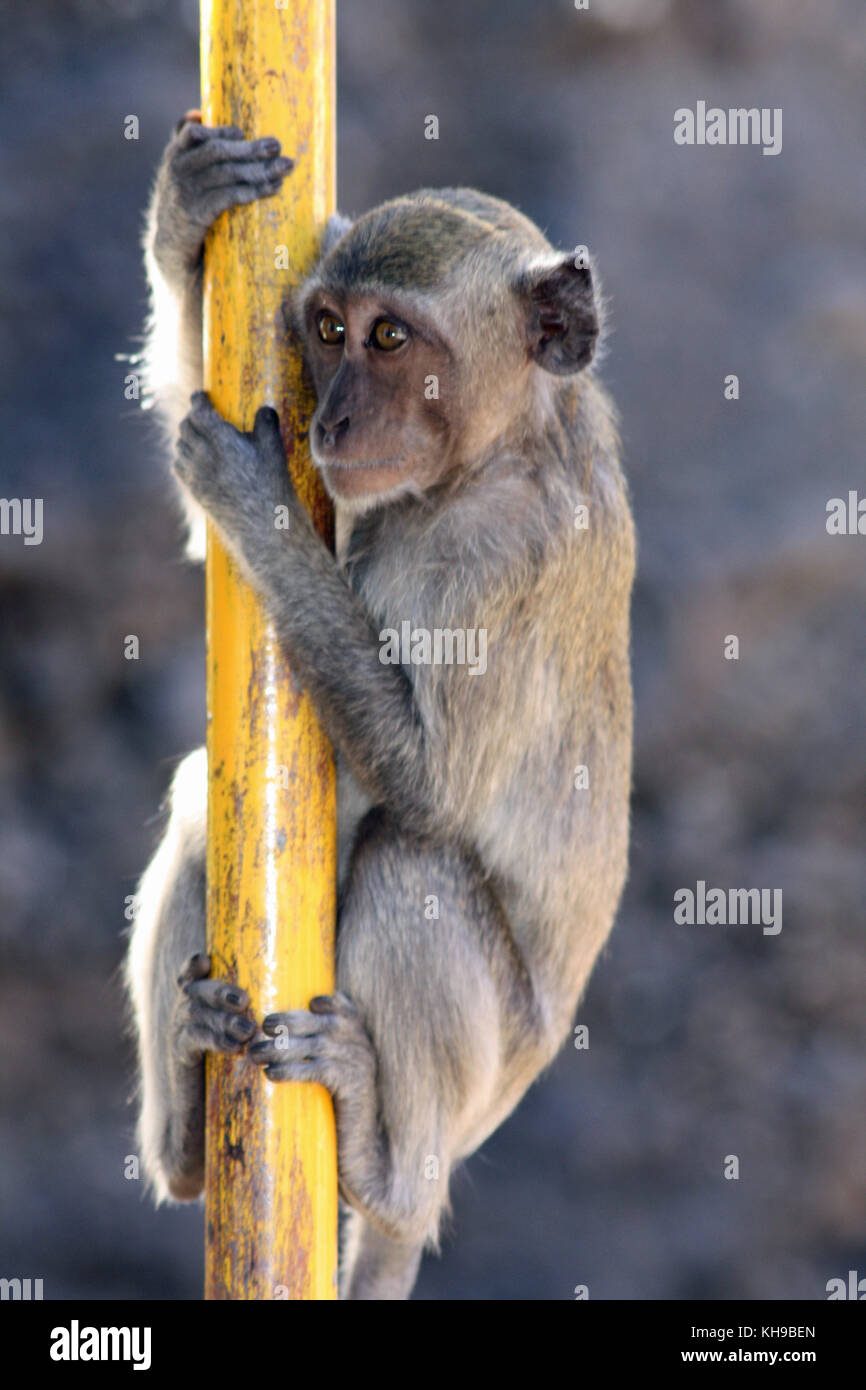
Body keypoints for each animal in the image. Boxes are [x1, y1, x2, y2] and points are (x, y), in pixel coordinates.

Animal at [125, 113, 633, 1295]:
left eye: (391, 339)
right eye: (326, 329)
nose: (337, 420)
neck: (492, 452)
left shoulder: (501, 551)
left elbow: (426, 787)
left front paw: (258, 501)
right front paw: (184, 222)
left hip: (489, 1071)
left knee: (415, 862)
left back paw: (385, 1172)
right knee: (200, 805)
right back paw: (185, 1132)